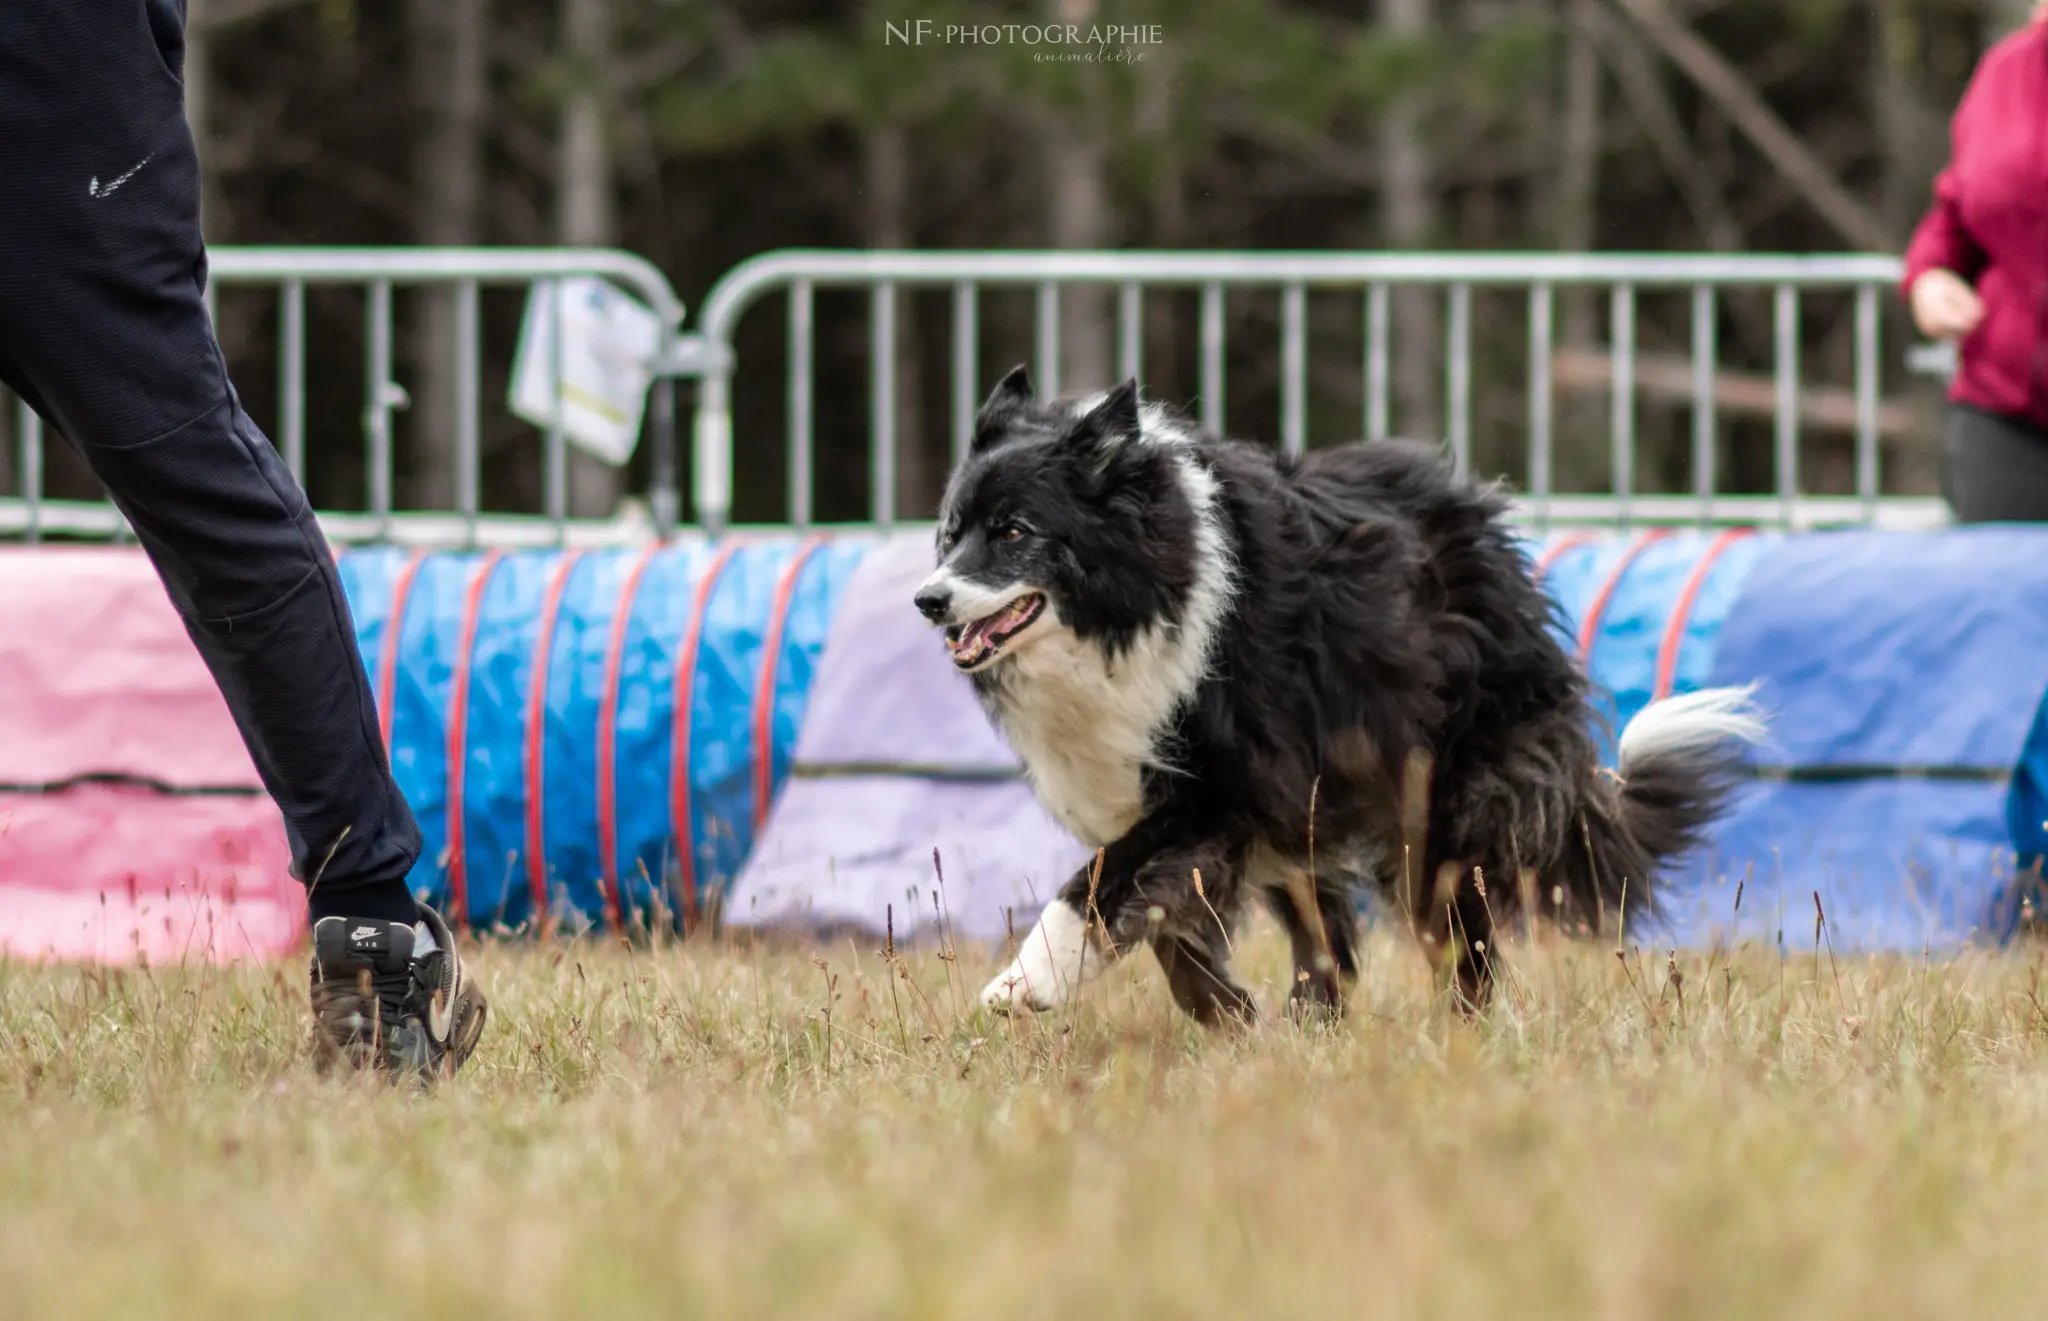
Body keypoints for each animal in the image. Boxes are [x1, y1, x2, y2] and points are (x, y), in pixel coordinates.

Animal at [917, 366, 1761, 1024]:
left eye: (1015, 531)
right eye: (949, 533)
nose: (929, 599)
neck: (1134, 602)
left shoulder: (1223, 786)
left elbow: (1098, 882)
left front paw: (1022, 983)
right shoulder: (1197, 799)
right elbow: (1161, 914)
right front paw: (1226, 1011)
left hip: (1435, 787)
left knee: (1460, 926)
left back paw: (1461, 1026)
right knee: (1327, 930)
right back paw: (1309, 1020)